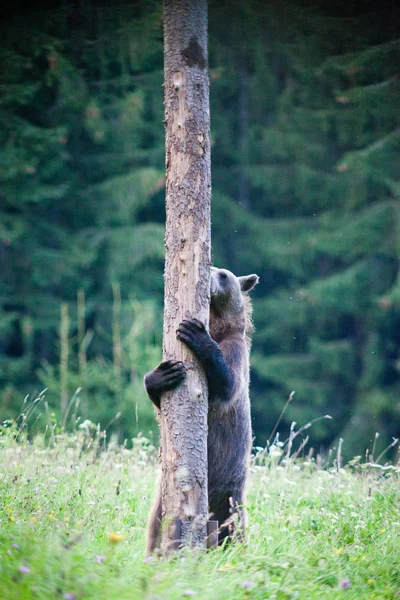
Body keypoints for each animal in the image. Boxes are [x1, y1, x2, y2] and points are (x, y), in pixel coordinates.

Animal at [144, 268, 260, 552]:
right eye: (217, 268)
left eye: (224, 274)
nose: (209, 277)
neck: (217, 325)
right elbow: (160, 400)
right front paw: (162, 375)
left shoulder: (236, 351)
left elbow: (227, 383)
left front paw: (195, 334)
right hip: (166, 496)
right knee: (157, 523)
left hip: (229, 487)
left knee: (232, 523)